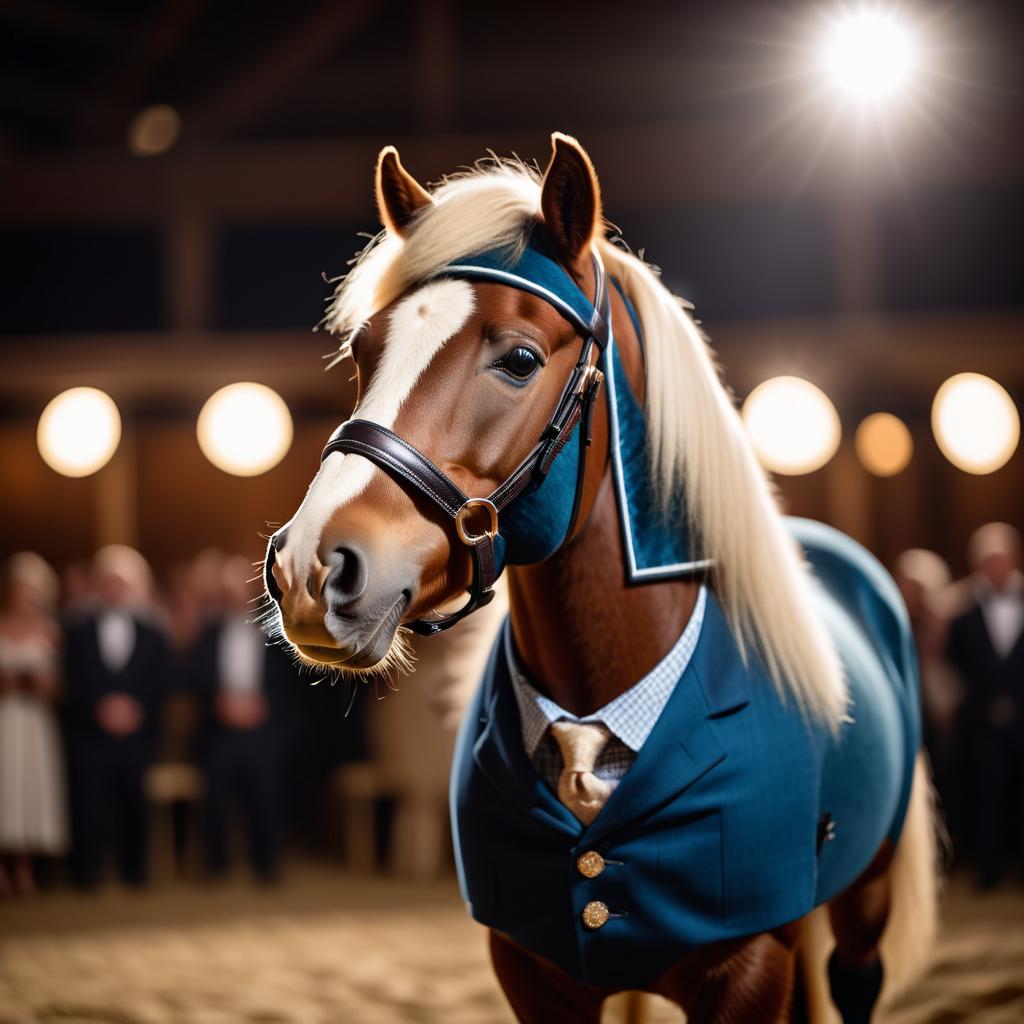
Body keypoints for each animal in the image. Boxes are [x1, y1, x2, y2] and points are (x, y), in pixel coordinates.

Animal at [264, 132, 937, 1019]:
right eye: (365, 351)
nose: (312, 566)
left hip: (865, 900)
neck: (598, 712)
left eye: (519, 359)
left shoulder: (752, 967)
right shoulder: (536, 969)